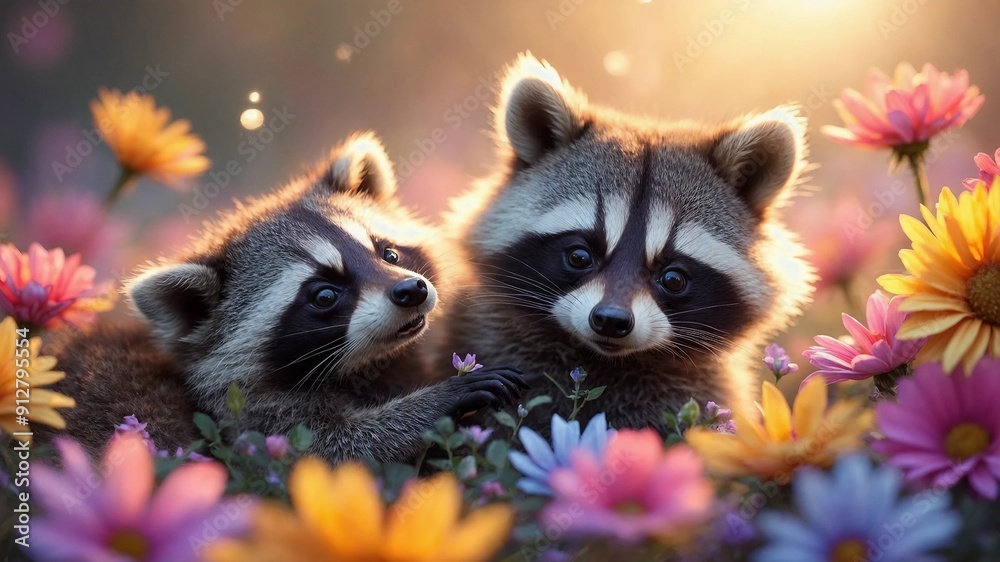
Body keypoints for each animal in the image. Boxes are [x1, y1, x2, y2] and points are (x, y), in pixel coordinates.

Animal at [41, 133, 525, 461]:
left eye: (387, 252)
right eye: (324, 295)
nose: (411, 290)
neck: (368, 366)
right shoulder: (252, 421)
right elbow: (330, 449)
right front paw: (435, 401)